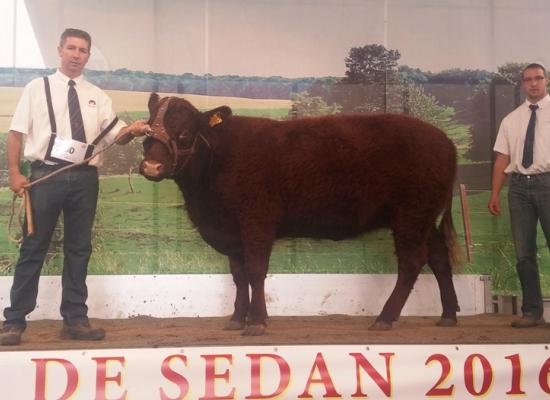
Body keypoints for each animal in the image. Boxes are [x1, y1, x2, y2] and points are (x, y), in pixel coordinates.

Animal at [139, 95, 462, 336]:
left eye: (183, 132)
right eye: (146, 132)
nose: (152, 167)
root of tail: (445, 140)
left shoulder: (257, 221)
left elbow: (255, 271)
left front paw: (257, 321)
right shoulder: (232, 233)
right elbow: (239, 275)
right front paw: (237, 318)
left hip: (411, 215)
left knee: (411, 262)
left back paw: (385, 317)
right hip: (425, 219)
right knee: (439, 258)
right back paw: (448, 314)